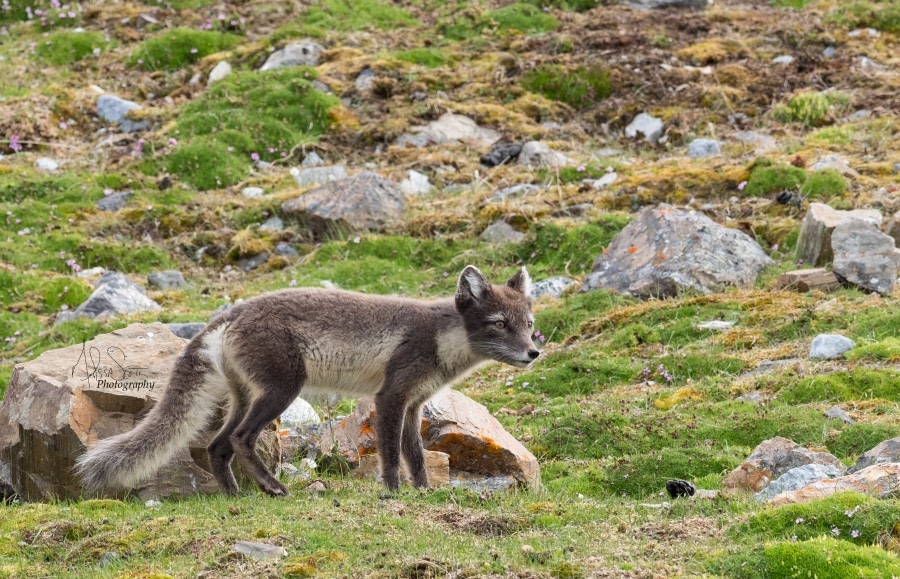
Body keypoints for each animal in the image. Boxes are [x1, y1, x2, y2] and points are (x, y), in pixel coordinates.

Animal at [74, 266, 536, 496]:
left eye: (529, 325)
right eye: (499, 323)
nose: (534, 353)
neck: (441, 339)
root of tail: (230, 314)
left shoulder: (414, 404)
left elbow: (417, 455)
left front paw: (424, 493)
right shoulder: (389, 397)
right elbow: (390, 455)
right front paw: (393, 493)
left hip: (247, 396)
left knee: (216, 445)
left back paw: (235, 496)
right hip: (281, 391)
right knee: (240, 439)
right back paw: (275, 488)